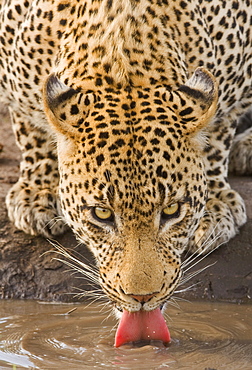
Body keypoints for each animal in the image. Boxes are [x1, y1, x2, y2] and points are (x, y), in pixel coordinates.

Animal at [0, 0, 252, 346]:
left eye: (172, 211)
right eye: (102, 214)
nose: (143, 298)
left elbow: (219, 130)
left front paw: (214, 208)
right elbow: (30, 127)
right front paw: (36, 194)